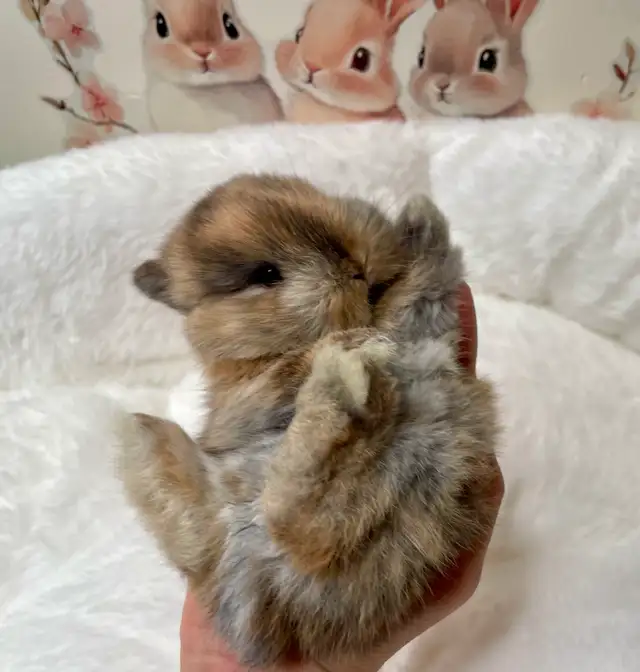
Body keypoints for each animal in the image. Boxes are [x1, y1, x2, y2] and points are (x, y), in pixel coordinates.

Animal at [120, 174, 499, 667]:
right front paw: (354, 344)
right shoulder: (256, 392)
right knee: (291, 517)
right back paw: (341, 377)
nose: (355, 263)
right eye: (266, 274)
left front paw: (420, 220)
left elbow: (417, 293)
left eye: (320, 197)